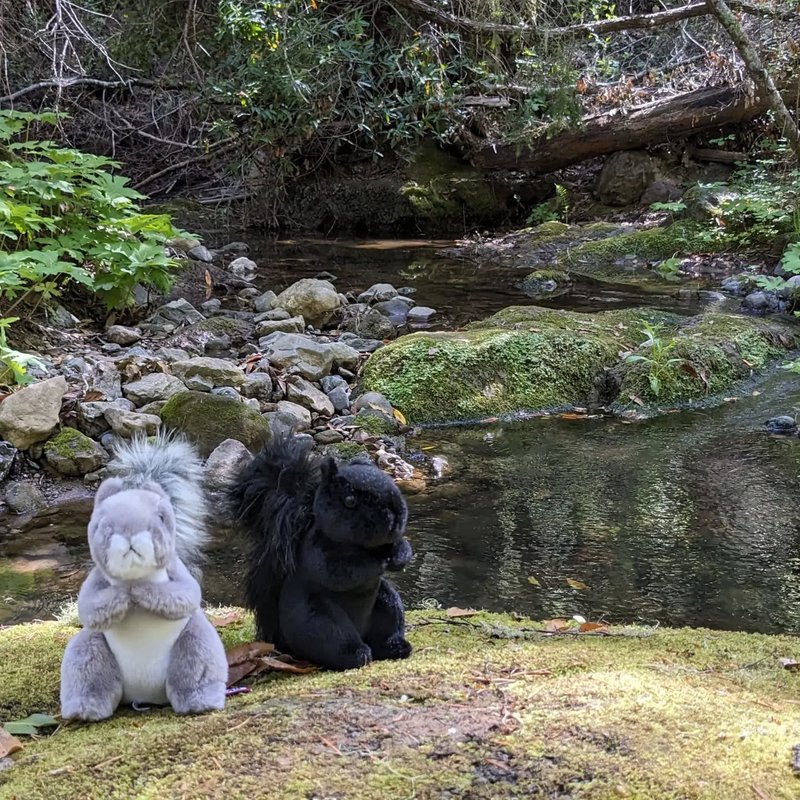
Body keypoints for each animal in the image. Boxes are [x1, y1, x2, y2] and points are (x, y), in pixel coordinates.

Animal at [60, 433, 228, 721]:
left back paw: (199, 701)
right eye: (101, 524)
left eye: (161, 517)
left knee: (194, 668)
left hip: (195, 646)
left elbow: (185, 596)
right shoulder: (94, 583)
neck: (135, 575)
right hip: (89, 651)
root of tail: (144, 697)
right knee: (90, 673)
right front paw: (123, 595)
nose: (130, 537)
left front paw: (139, 592)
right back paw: (85, 708)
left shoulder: (178, 573)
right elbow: (89, 608)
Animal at [229, 434, 413, 671]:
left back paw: (396, 647)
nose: (396, 513)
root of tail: (284, 644)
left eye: (390, 483)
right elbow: (339, 572)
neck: (363, 546)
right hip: (321, 623)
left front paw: (400, 556)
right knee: (336, 642)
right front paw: (379, 562)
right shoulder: (316, 550)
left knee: (387, 628)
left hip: (388, 603)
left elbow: (401, 545)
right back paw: (357, 654)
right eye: (350, 501)